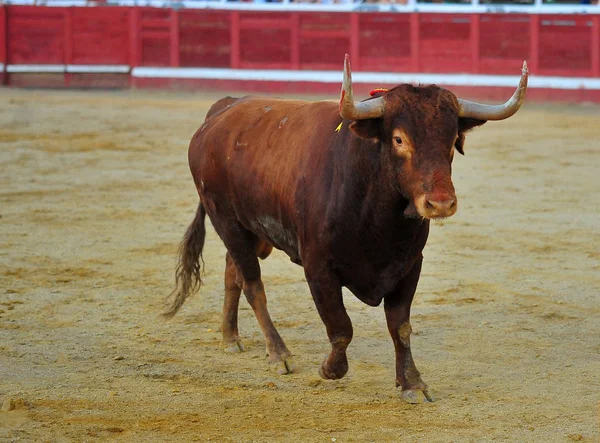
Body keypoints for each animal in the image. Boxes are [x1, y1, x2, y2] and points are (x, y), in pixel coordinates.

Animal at [166, 54, 528, 402]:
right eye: (399, 139)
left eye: (452, 139)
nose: (440, 204)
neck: (378, 220)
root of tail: (221, 112)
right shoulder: (318, 268)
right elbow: (341, 327)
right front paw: (330, 369)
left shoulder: (409, 266)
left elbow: (401, 326)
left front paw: (411, 382)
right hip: (225, 220)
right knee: (253, 284)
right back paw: (279, 353)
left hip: (250, 229)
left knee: (233, 273)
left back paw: (230, 337)